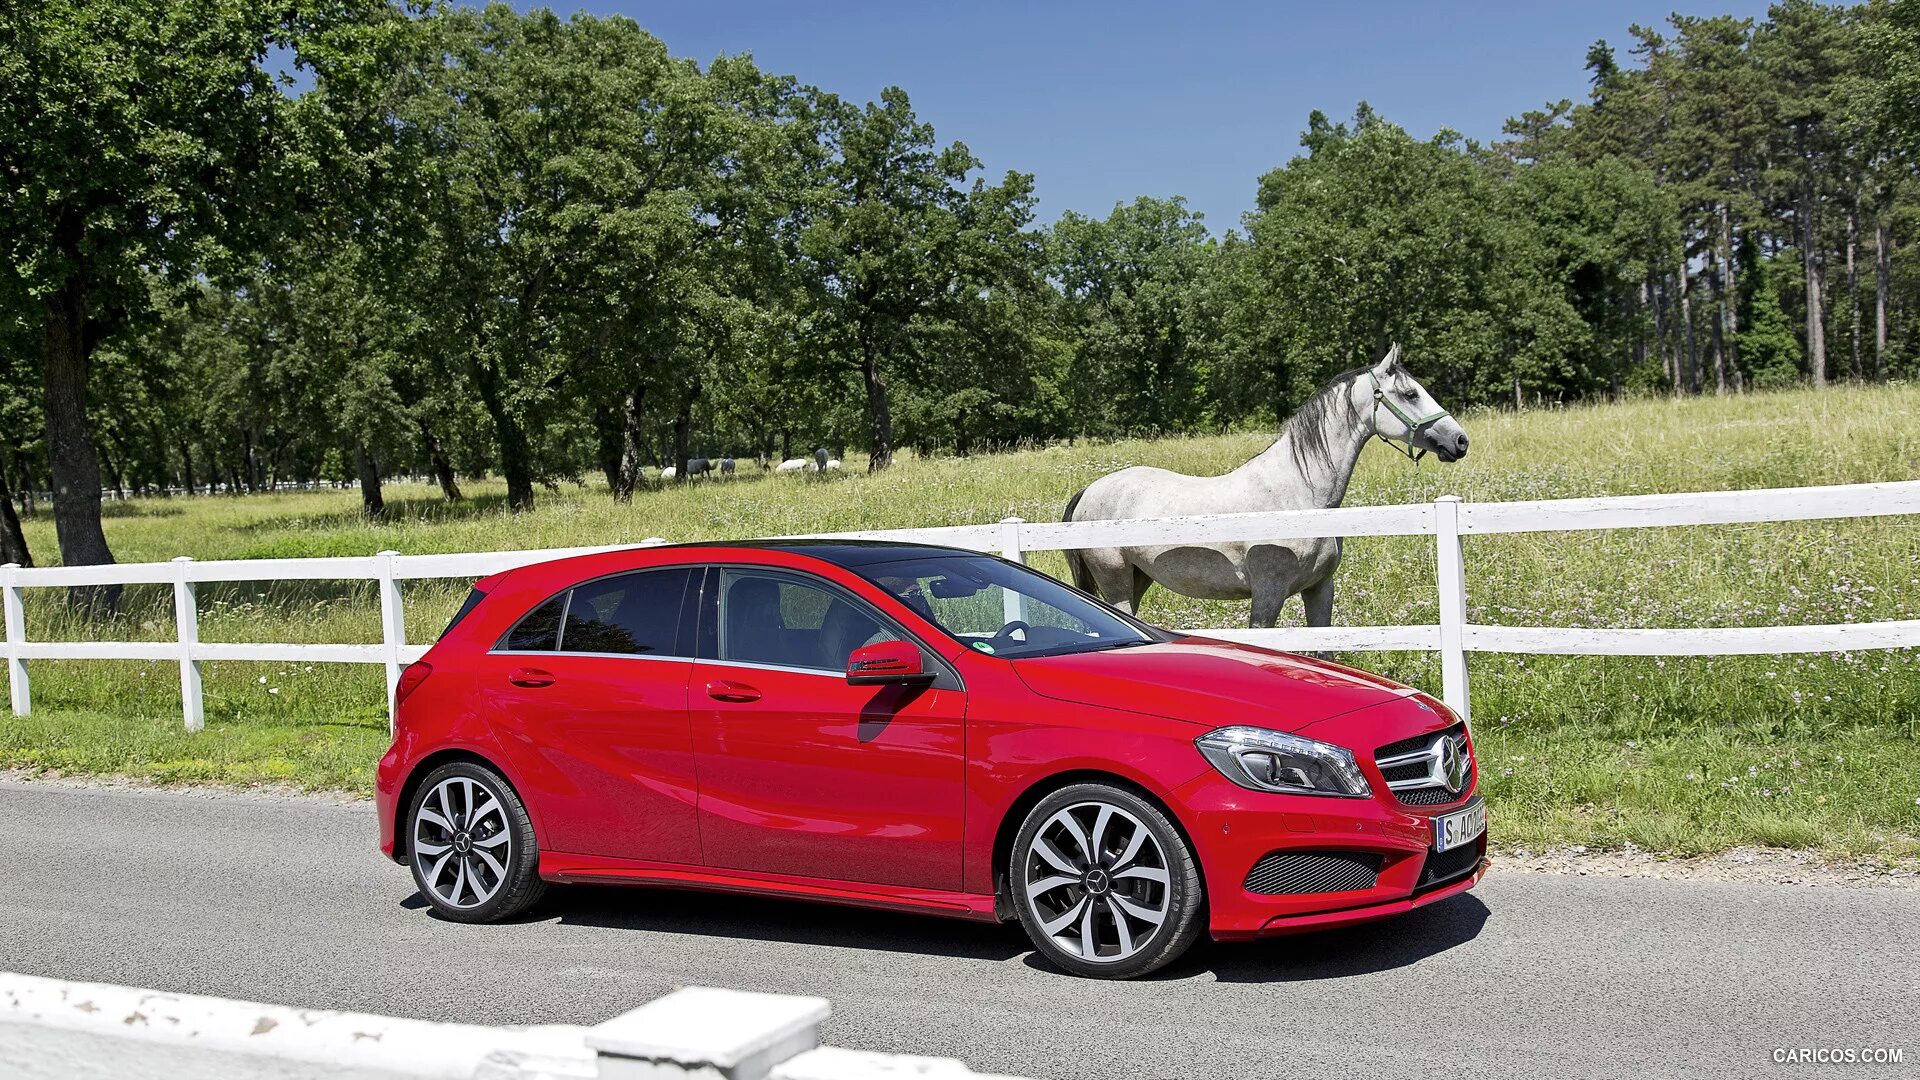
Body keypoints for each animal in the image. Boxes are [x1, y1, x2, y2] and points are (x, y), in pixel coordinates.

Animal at [1067, 343, 1466, 626]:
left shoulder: (1320, 590)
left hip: (1140, 579)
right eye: (1410, 394)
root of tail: (1088, 492)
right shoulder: (1267, 594)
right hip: (1116, 581)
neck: (1301, 496)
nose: (1460, 441)